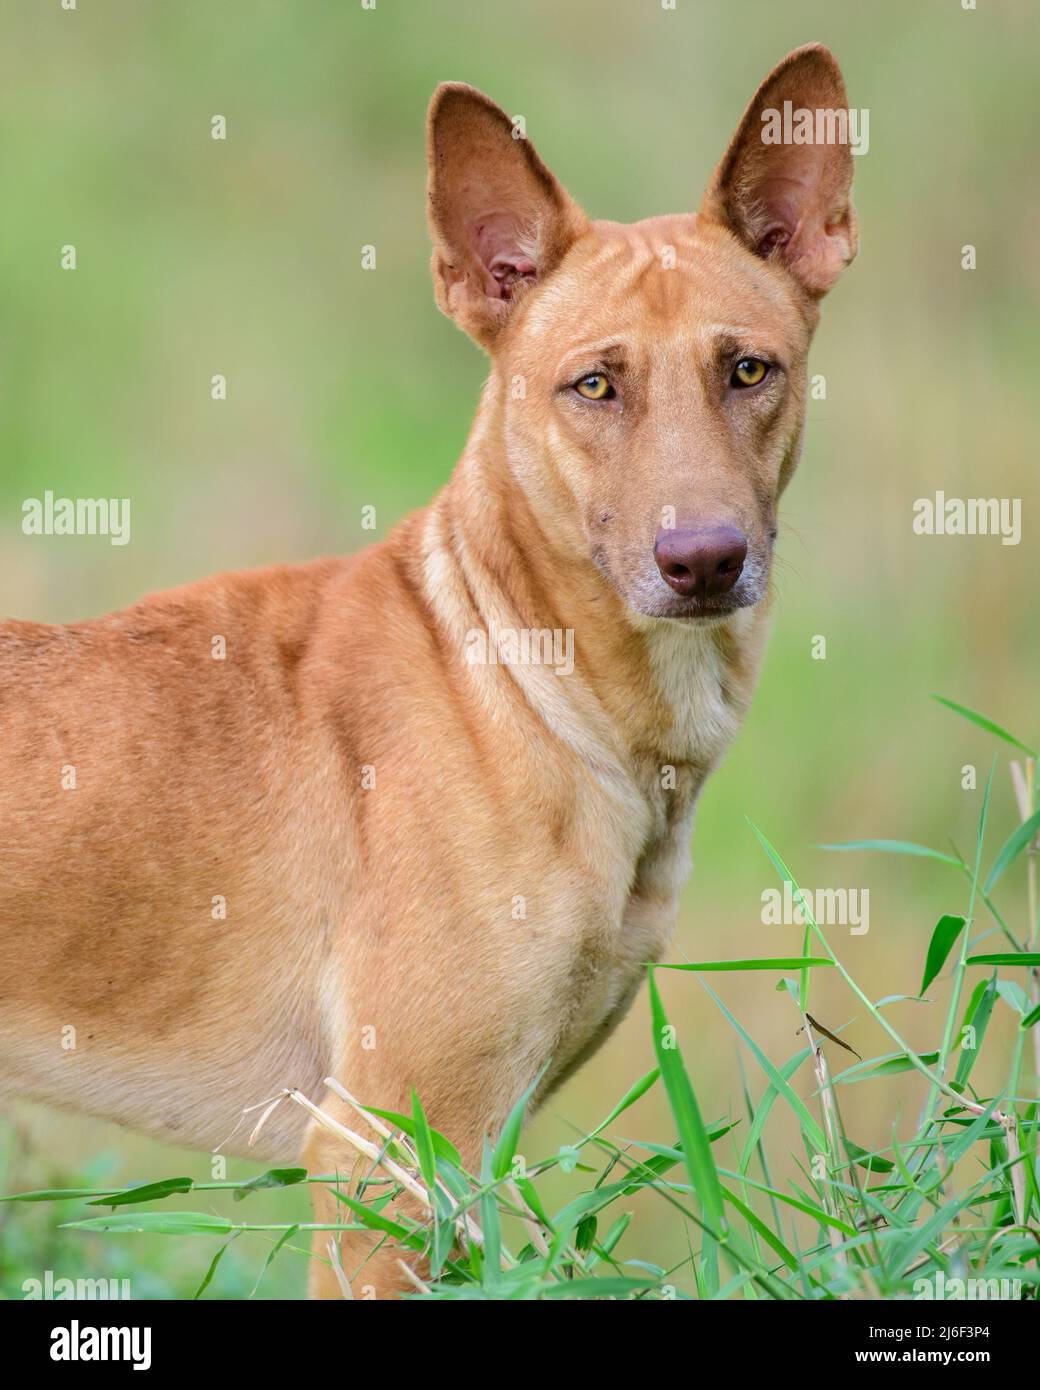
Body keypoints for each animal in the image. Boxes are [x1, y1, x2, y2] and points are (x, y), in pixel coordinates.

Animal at [0, 46, 850, 1301]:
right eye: (591, 386)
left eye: (749, 369)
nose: (701, 560)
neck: (526, 690)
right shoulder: (387, 1151)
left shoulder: (478, 1142)